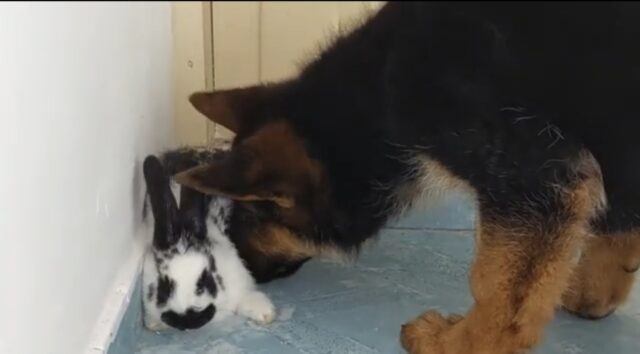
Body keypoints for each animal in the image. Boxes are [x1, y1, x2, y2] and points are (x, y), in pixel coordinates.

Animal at [175, 2, 640, 354]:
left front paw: (459, 345)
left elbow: (496, 291)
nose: (241, 273)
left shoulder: (533, 174)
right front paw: (594, 292)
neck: (375, 98)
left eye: (253, 216)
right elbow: (614, 227)